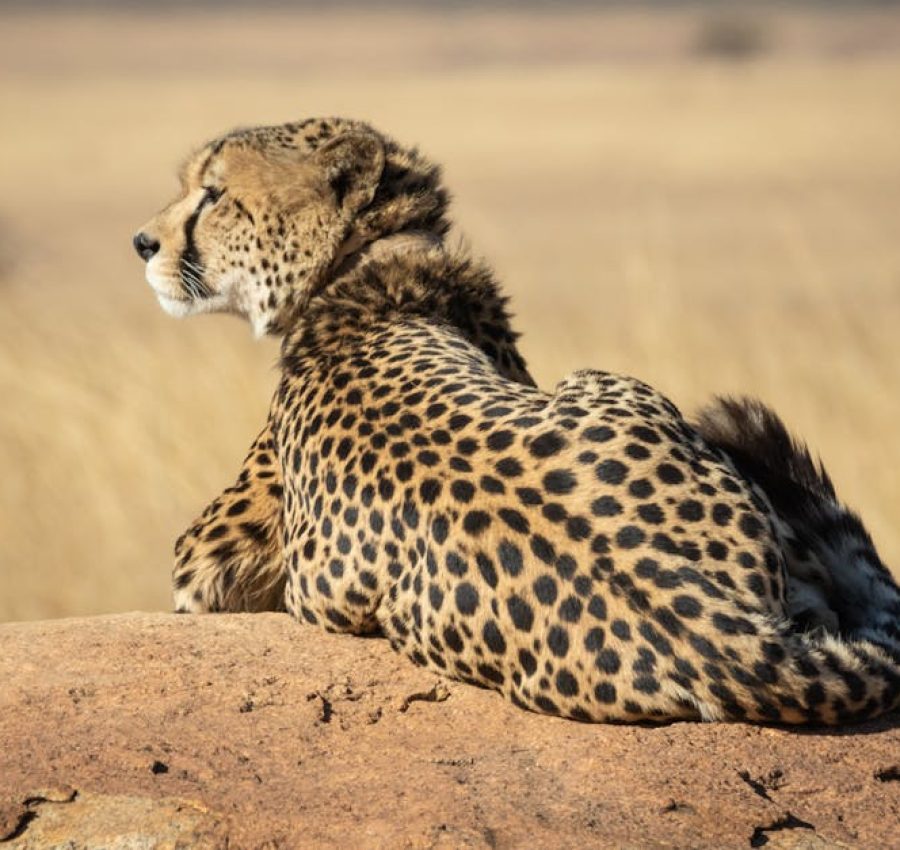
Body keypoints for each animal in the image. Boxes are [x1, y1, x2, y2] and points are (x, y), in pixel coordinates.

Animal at [133, 117, 900, 724]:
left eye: (214, 194)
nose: (143, 243)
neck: (366, 263)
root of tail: (723, 639)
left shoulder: (206, 558)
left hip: (603, 379)